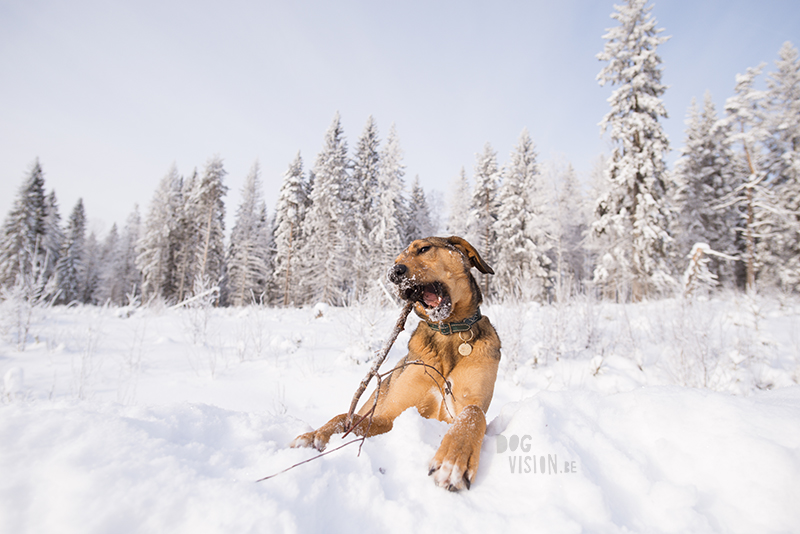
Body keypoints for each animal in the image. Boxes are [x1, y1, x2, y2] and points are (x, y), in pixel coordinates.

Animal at [288, 239, 500, 494]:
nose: (394, 273)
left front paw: (454, 459)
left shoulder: (468, 404)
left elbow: (473, 413)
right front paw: (320, 434)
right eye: (396, 259)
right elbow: (347, 419)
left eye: (423, 248)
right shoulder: (392, 416)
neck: (447, 334)